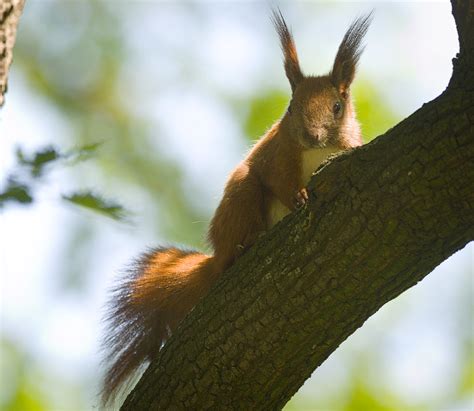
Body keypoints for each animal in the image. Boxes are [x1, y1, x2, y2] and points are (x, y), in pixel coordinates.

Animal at [102, 11, 372, 408]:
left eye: (337, 107)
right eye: (291, 107)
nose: (311, 135)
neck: (315, 152)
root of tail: (216, 257)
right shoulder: (278, 157)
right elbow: (278, 182)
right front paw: (299, 198)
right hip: (242, 195)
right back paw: (246, 246)